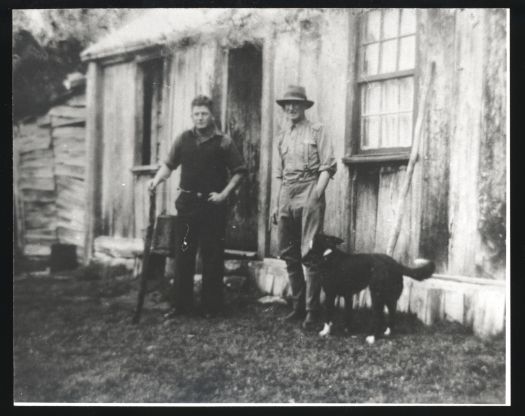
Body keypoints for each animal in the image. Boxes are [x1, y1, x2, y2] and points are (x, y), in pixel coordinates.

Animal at [302, 234, 434, 344]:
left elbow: (328, 315)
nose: (302, 260)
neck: (328, 256)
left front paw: (325, 331)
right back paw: (387, 332)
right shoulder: (348, 295)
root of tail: (395, 264)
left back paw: (371, 337)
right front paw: (347, 329)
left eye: (313, 249)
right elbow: (348, 314)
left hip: (376, 295)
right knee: (391, 315)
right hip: (389, 298)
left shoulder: (330, 294)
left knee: (378, 316)